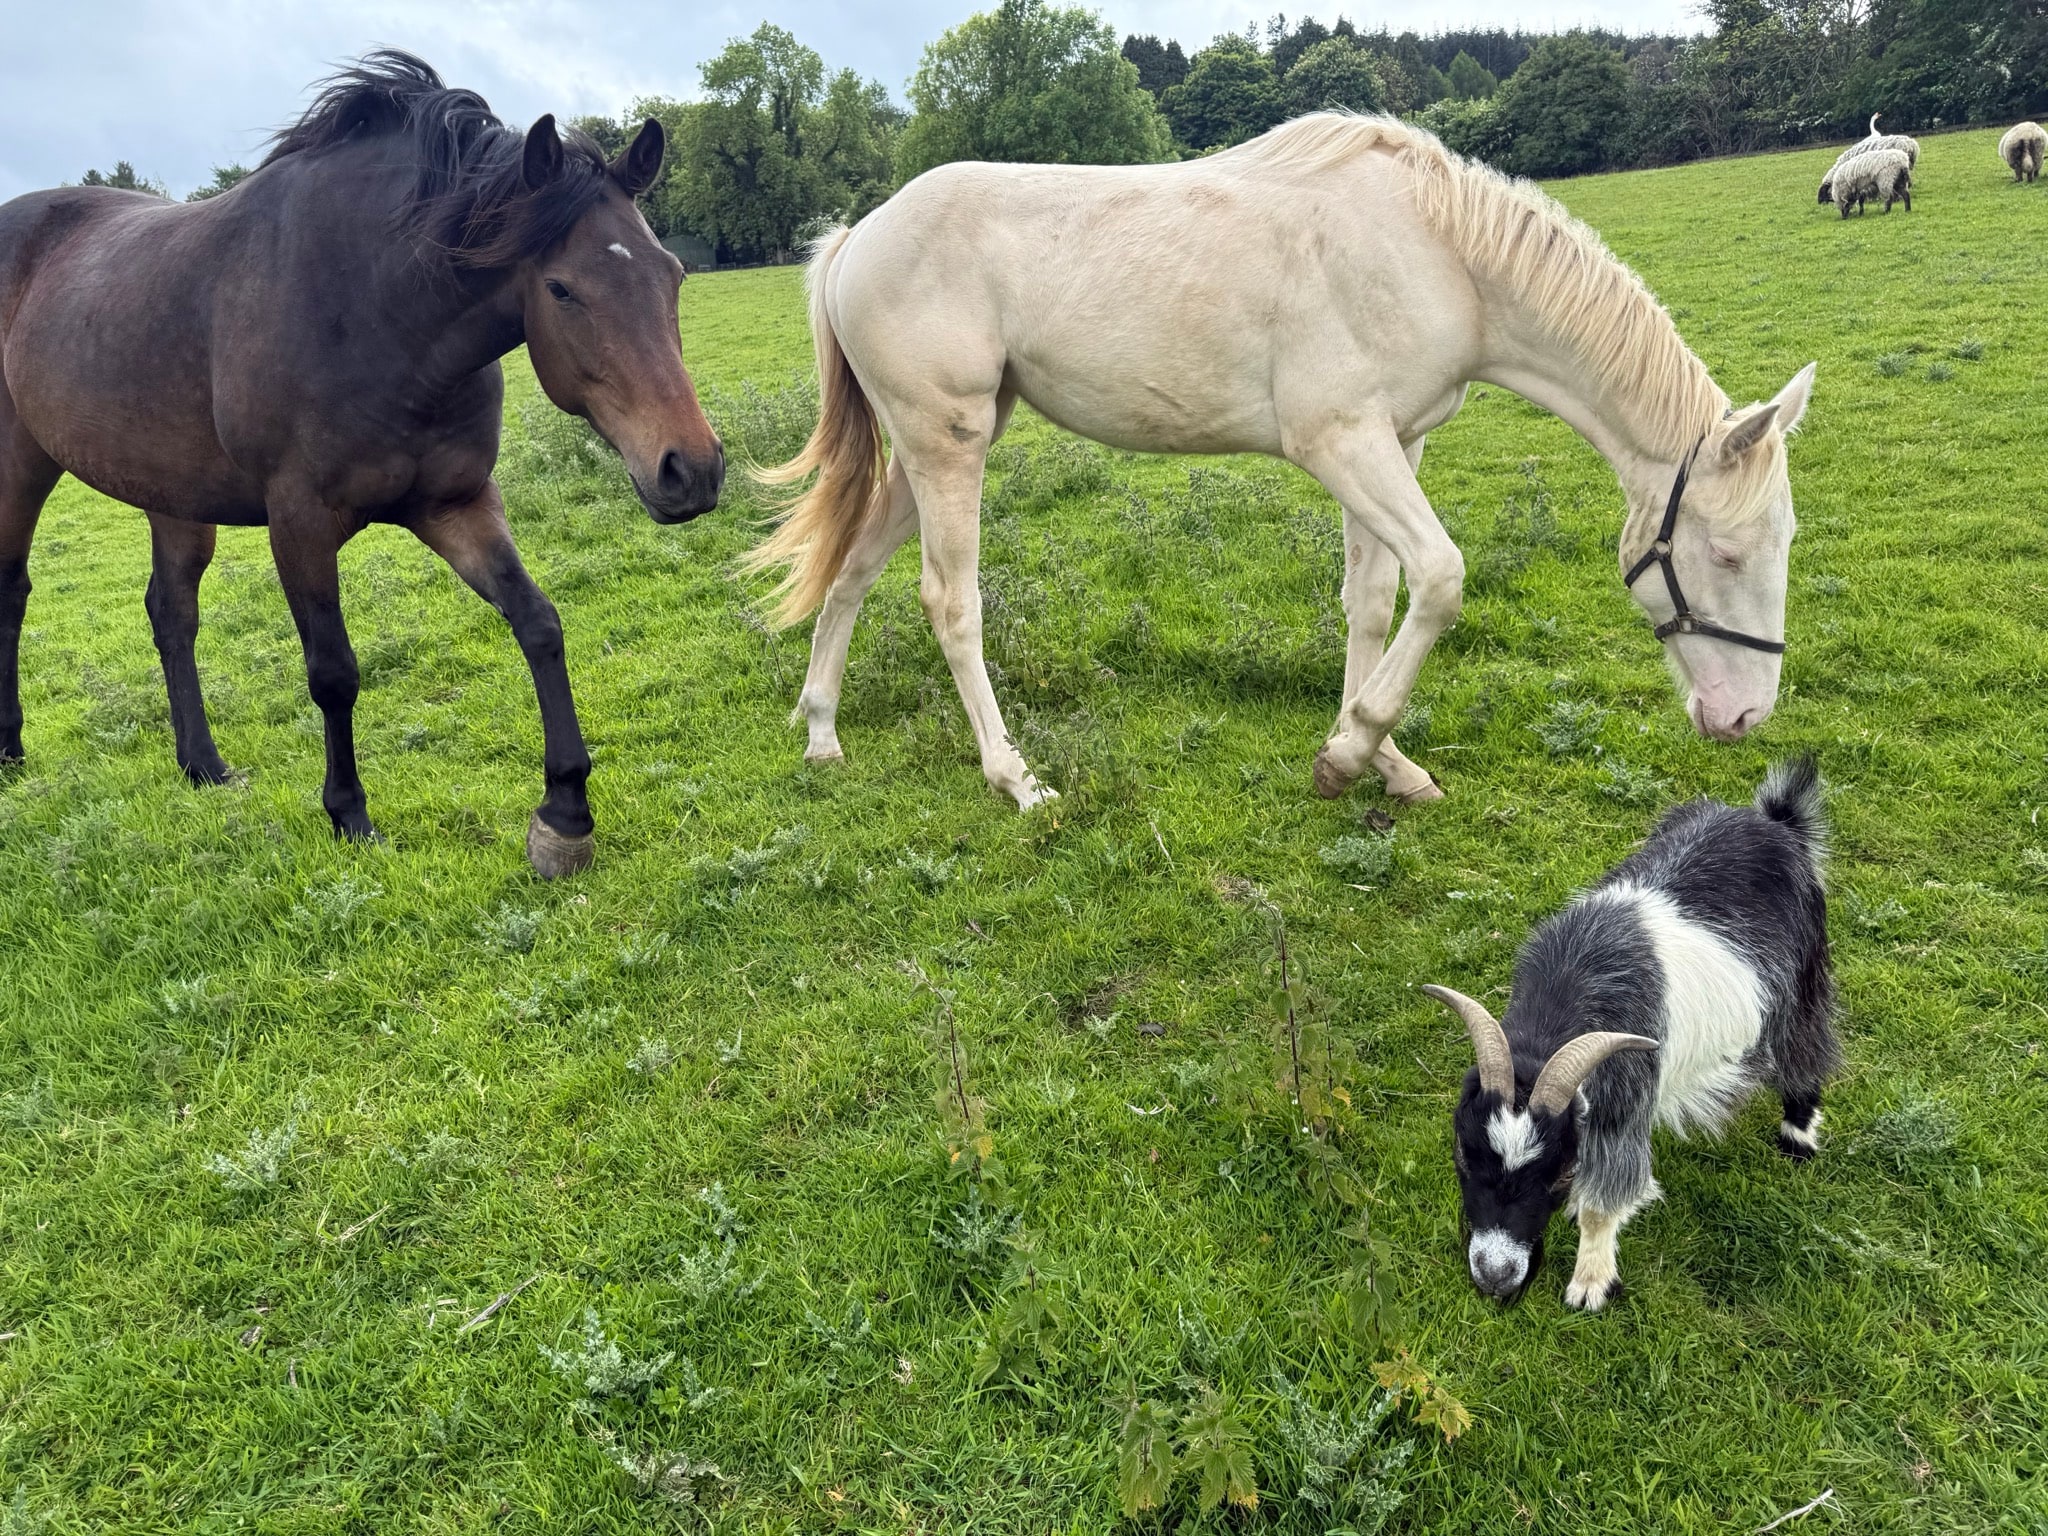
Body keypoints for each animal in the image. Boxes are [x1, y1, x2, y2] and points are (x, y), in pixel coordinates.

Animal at [0, 52, 723, 876]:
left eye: (672, 274)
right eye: (562, 288)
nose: (691, 469)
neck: (378, 311)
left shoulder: (457, 504)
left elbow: (537, 621)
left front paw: (564, 814)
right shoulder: (300, 524)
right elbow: (334, 672)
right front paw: (349, 814)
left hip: (173, 495)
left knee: (171, 613)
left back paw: (203, 766)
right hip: (20, 463)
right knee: (13, 591)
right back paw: (12, 751)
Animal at [745, 114, 1813, 811]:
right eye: (1725, 556)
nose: (1746, 717)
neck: (1440, 256)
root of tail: (859, 235)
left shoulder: (1394, 442)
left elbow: (1374, 601)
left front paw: (1381, 759)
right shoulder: (1340, 442)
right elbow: (1441, 577)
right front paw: (1351, 751)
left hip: (926, 450)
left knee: (853, 572)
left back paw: (822, 731)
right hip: (948, 443)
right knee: (949, 601)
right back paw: (1013, 776)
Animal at [1424, 758, 1840, 1312]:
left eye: (1558, 1172)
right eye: (1465, 1155)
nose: (1495, 1277)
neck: (1575, 977)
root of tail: (1776, 820)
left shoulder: (1626, 1099)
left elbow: (1608, 1199)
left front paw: (1591, 1284)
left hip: (1803, 981)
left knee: (1806, 1049)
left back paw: (1798, 1135)